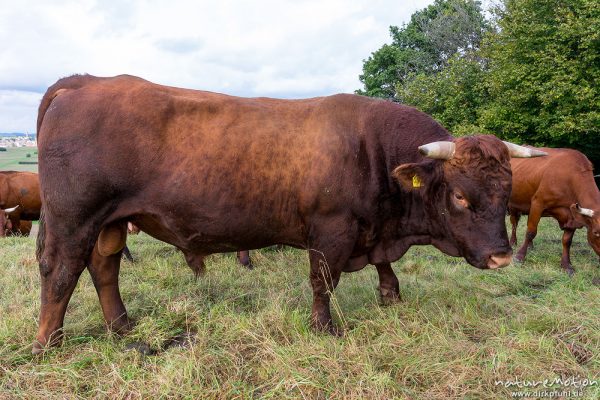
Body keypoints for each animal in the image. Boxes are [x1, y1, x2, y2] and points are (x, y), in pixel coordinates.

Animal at [35, 73, 548, 352]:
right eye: (460, 196)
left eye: (506, 191)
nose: (502, 256)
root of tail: (86, 82)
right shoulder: (332, 230)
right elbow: (324, 282)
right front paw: (325, 329)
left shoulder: (371, 229)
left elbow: (383, 269)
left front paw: (391, 296)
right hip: (73, 217)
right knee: (60, 271)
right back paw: (47, 343)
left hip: (110, 221)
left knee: (103, 267)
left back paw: (122, 326)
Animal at [508, 147, 600, 276]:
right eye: (596, 233)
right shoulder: (538, 203)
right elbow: (531, 232)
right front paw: (519, 257)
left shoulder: (572, 215)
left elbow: (567, 241)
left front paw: (566, 265)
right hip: (512, 204)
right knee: (514, 223)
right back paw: (512, 242)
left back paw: (530, 246)